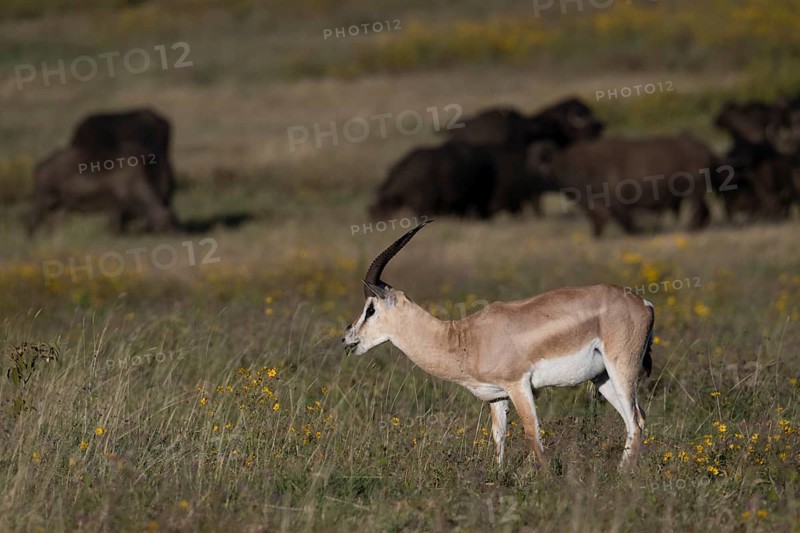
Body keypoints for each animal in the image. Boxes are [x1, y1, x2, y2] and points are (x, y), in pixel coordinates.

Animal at [342, 221, 655, 469]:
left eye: (370, 309)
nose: (347, 338)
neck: (465, 338)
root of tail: (643, 302)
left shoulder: (519, 385)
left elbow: (532, 432)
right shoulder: (496, 396)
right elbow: (498, 437)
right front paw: (499, 475)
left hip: (621, 369)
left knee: (636, 421)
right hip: (603, 378)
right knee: (633, 421)